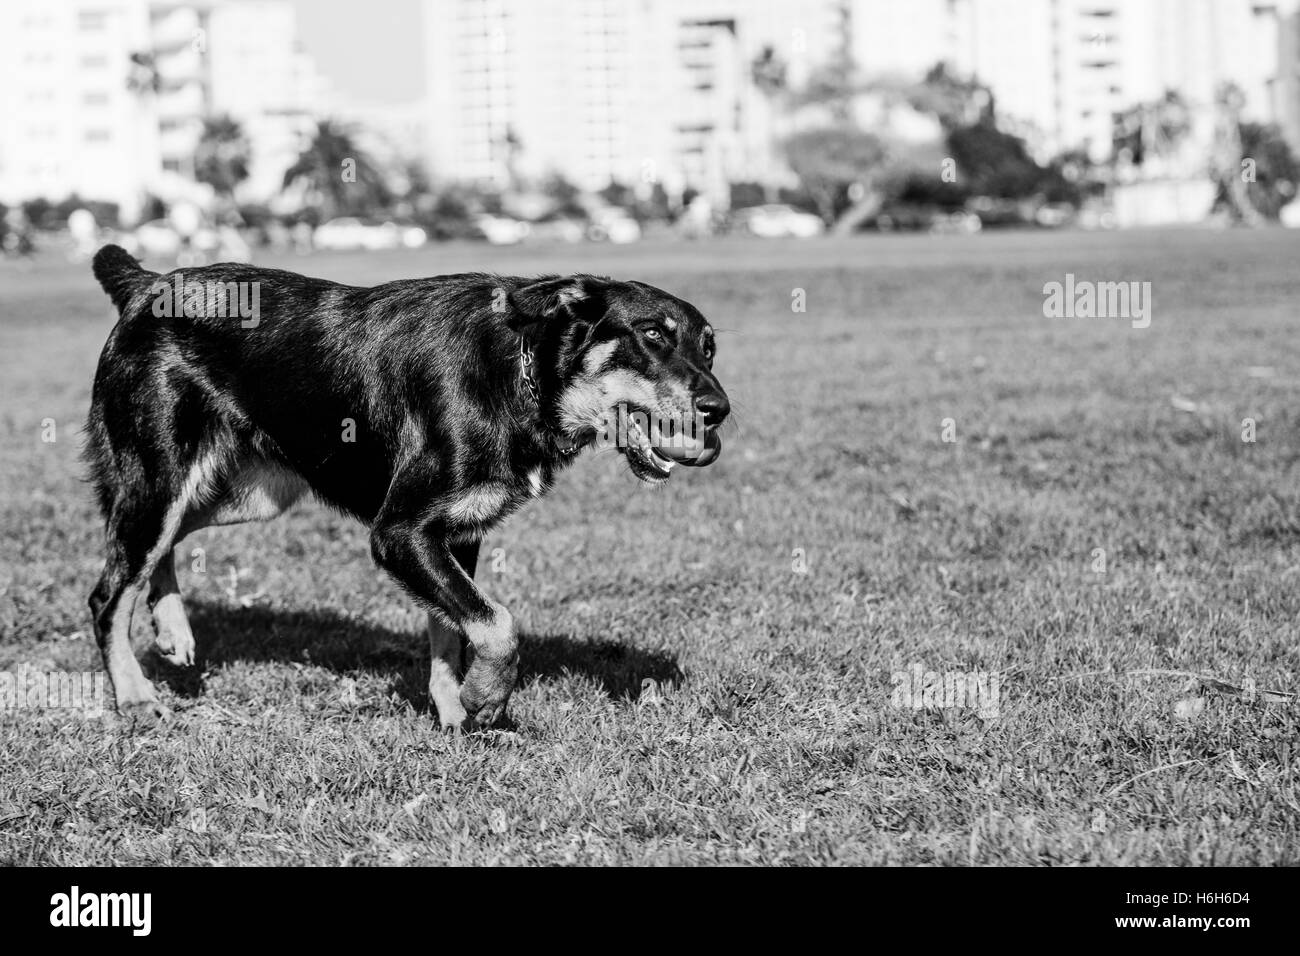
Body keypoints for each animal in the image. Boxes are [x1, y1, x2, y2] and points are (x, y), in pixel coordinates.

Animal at [85, 243, 728, 728]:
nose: (719, 410)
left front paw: (454, 711)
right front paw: (485, 699)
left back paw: (171, 628)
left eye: (709, 347)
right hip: (161, 479)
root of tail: (147, 285)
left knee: (154, 552)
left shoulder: (456, 533)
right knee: (110, 591)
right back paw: (136, 697)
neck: (520, 371)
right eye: (652, 335)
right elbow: (497, 624)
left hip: (249, 492)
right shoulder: (400, 533)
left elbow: (453, 631)